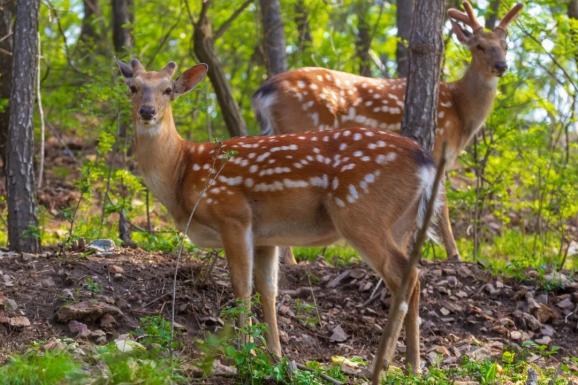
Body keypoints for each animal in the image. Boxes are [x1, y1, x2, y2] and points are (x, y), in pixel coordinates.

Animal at [117, 58, 440, 374]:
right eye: (133, 87)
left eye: (168, 89)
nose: (147, 111)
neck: (181, 172)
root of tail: (426, 162)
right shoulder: (266, 236)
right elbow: (268, 289)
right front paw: (275, 355)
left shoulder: (232, 215)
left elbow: (241, 286)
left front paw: (244, 352)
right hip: (402, 223)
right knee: (413, 275)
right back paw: (413, 365)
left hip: (361, 212)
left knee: (404, 275)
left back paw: (381, 364)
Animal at [252, 0, 520, 264]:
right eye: (479, 46)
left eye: (505, 45)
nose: (501, 66)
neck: (461, 111)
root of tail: (264, 91)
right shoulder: (438, 147)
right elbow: (441, 203)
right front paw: (454, 254)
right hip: (303, 126)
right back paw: (292, 261)